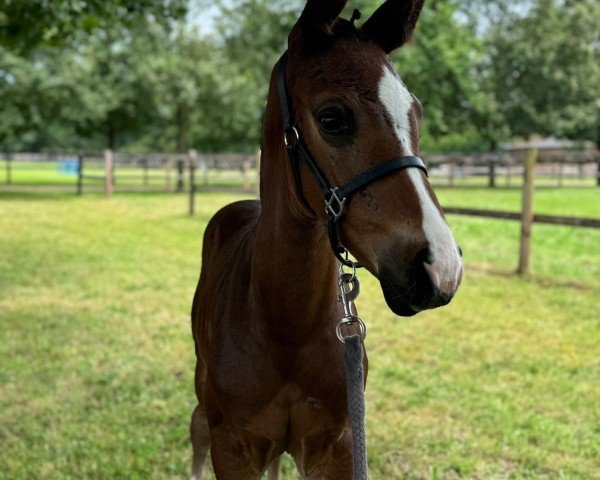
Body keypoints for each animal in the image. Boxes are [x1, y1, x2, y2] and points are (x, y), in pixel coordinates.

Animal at [190, 1, 462, 478]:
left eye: (417, 114)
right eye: (332, 118)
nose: (441, 267)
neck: (287, 326)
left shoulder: (335, 447)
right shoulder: (233, 448)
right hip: (201, 390)